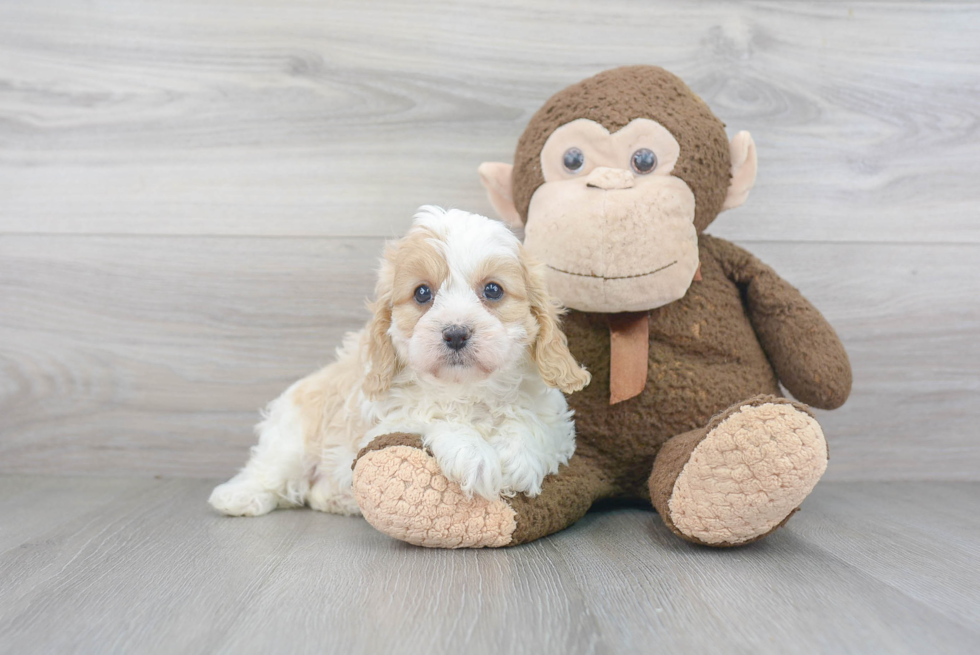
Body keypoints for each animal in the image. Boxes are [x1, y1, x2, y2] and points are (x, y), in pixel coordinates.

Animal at [209, 206, 588, 516]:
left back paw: (335, 498)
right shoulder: (384, 423)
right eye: (422, 293)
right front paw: (475, 455)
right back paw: (238, 497)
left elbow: (534, 422)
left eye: (493, 290)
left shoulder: (557, 423)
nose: (455, 333)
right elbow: (429, 417)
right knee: (270, 472)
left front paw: (519, 456)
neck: (466, 391)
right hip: (293, 435)